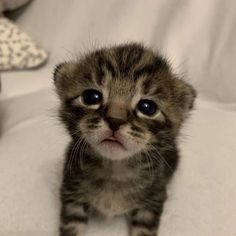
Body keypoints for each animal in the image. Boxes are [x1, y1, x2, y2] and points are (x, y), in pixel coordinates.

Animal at [53, 42, 195, 236]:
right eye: (91, 97)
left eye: (147, 107)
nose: (115, 120)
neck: (114, 170)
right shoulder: (72, 193)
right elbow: (71, 226)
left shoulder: (152, 201)